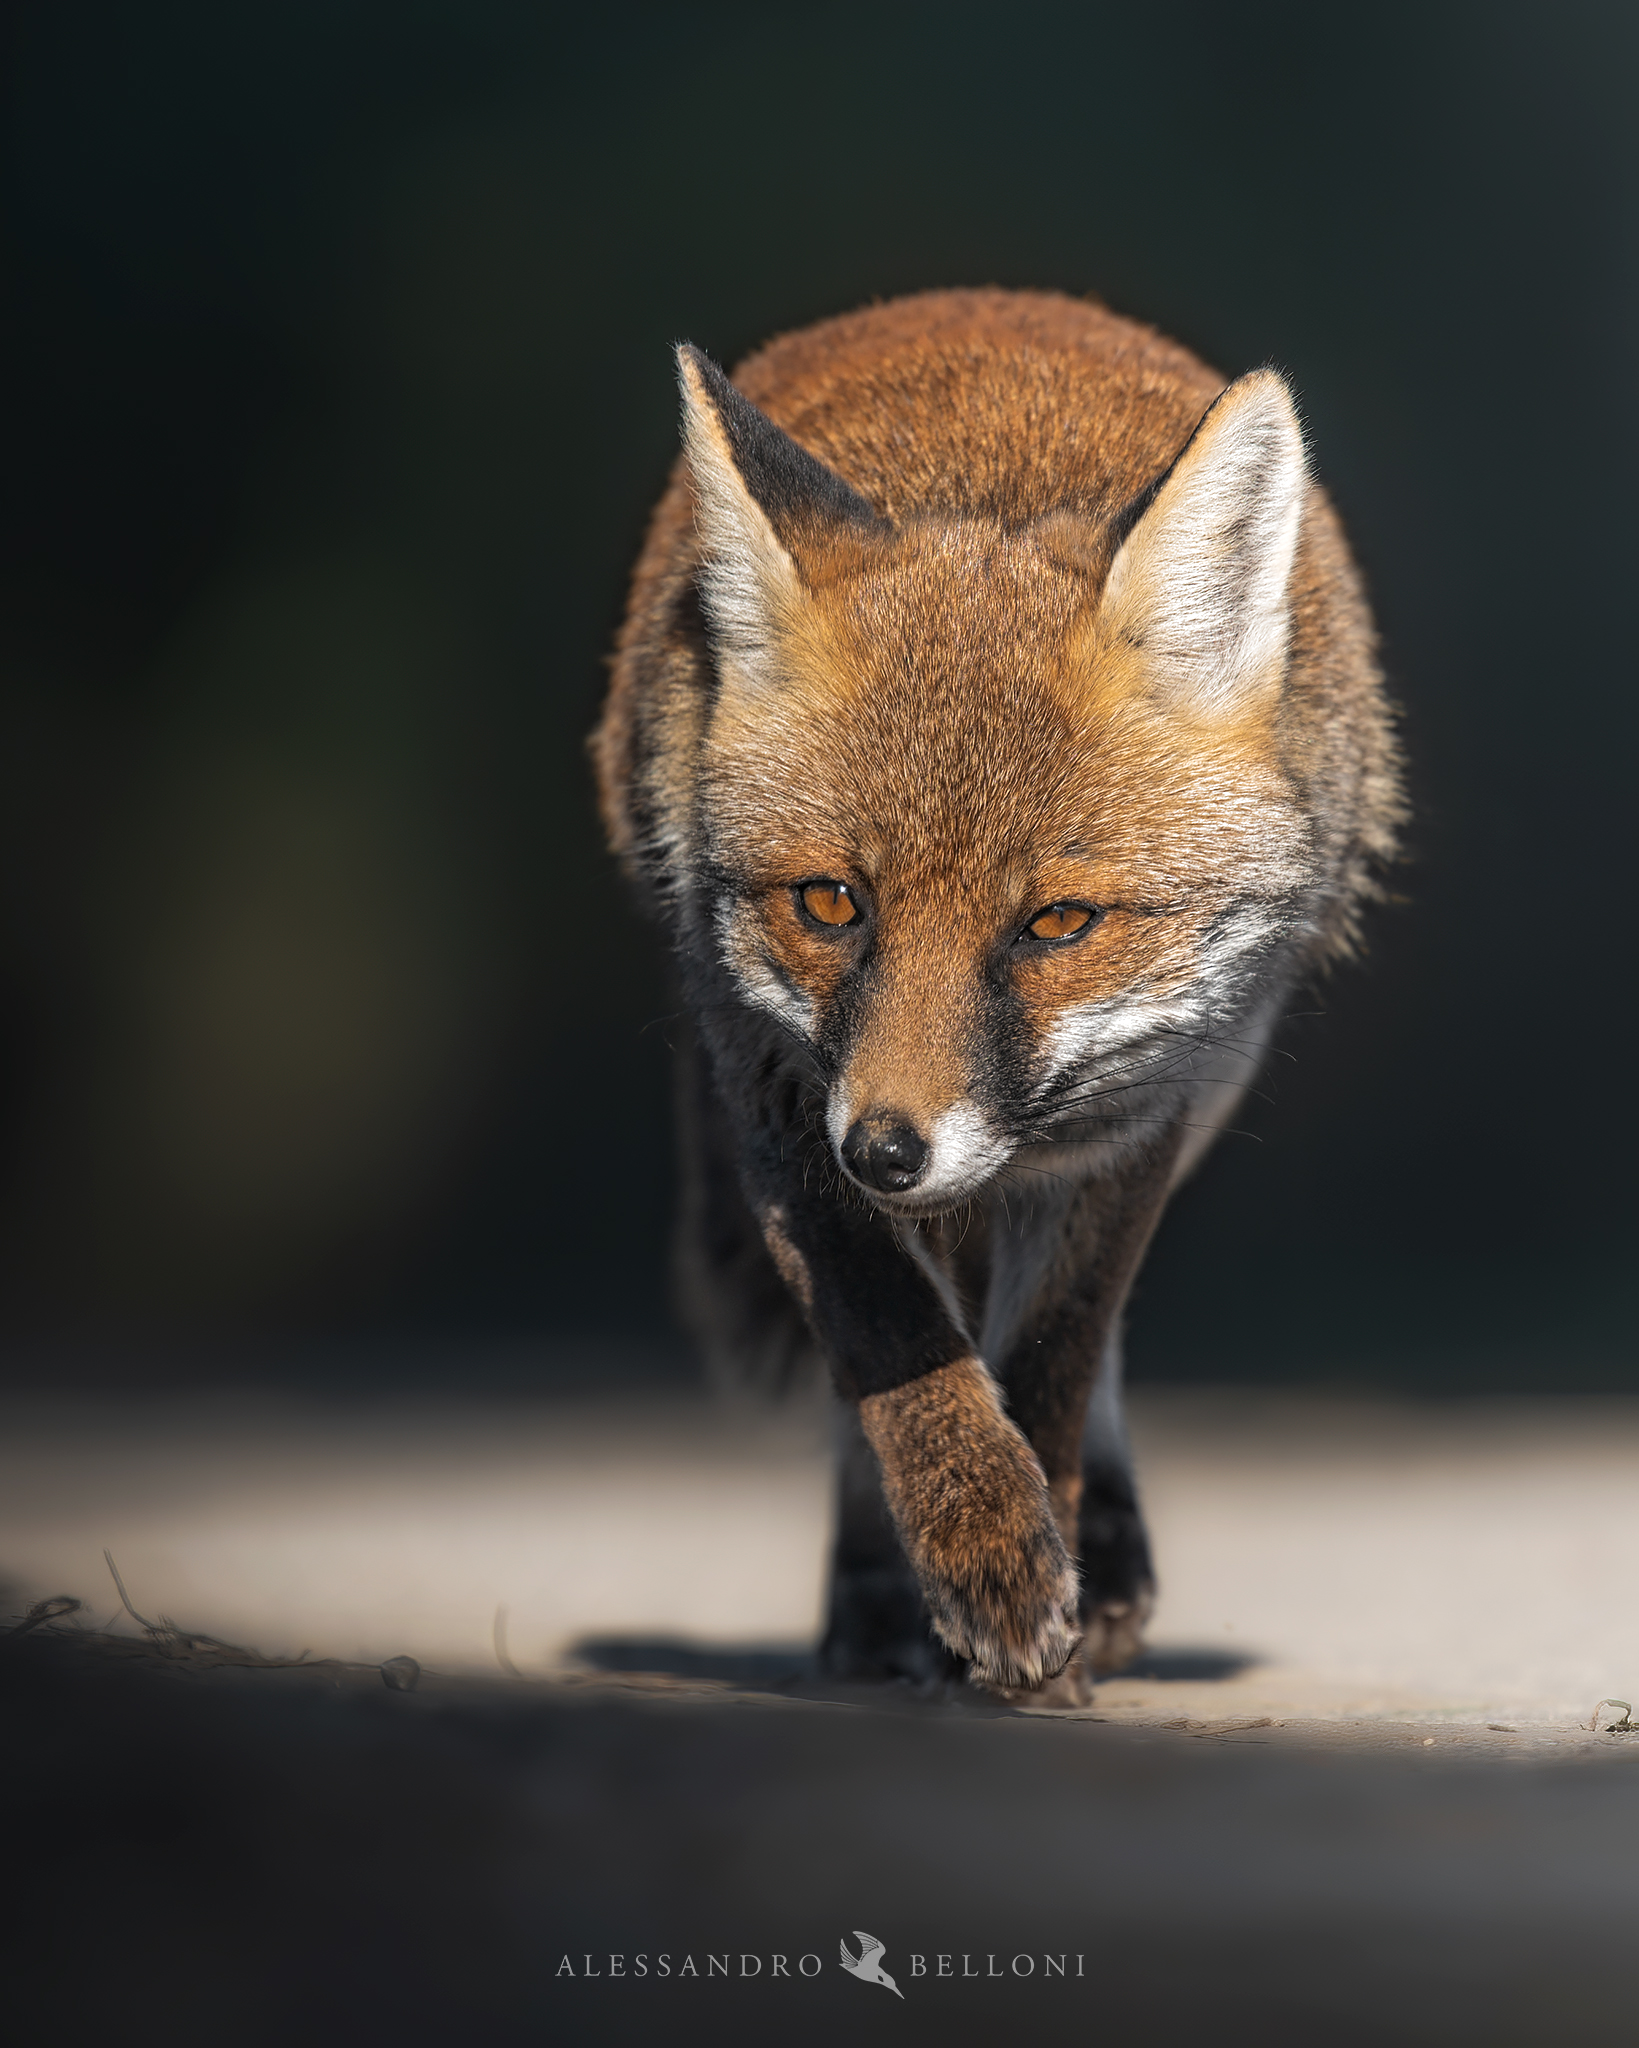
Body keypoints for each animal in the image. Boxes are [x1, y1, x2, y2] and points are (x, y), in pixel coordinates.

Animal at [593, 288, 1402, 1700]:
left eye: (1057, 923)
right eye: (830, 903)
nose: (888, 1150)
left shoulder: (1143, 1108)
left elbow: (1061, 1350)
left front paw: (1048, 1587)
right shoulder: (773, 1088)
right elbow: (884, 1332)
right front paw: (978, 1549)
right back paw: (884, 1602)